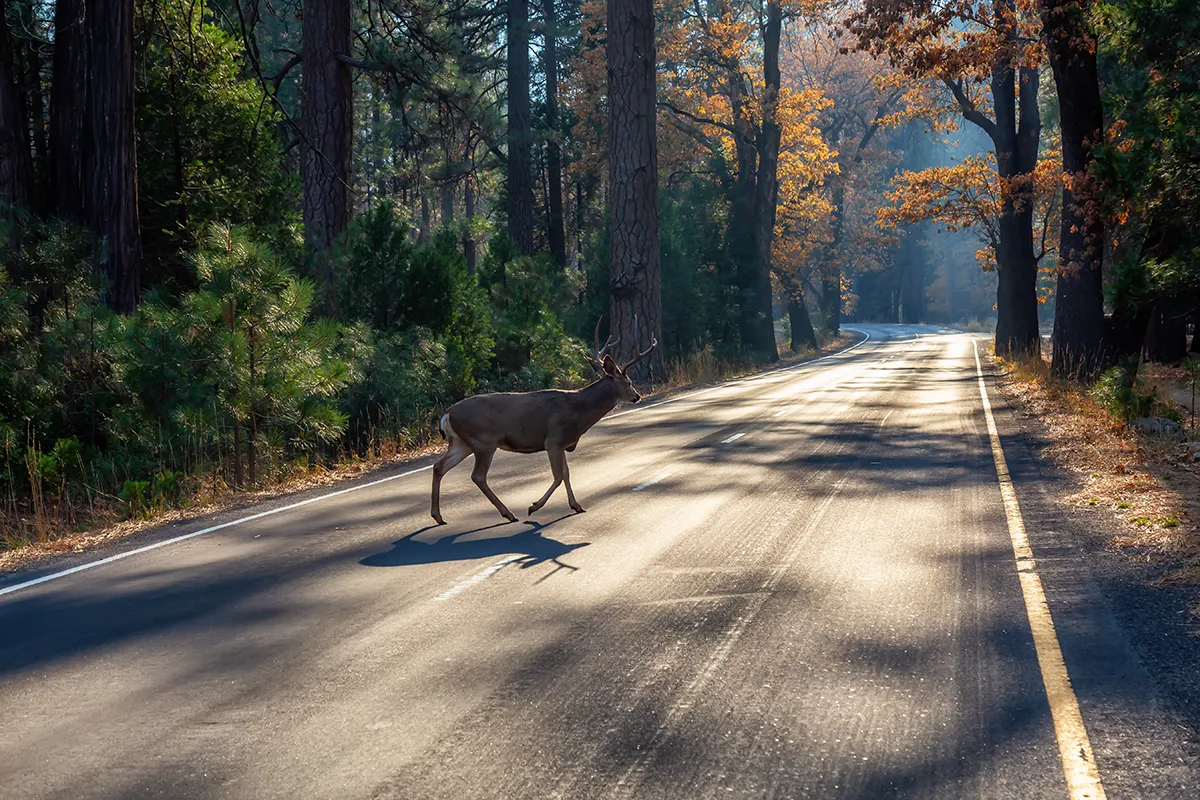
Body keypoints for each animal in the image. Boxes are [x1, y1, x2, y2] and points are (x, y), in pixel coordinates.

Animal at [429, 319, 657, 525]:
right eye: (628, 382)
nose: (637, 396)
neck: (580, 411)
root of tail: (447, 414)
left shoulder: (562, 443)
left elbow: (566, 473)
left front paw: (576, 505)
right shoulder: (553, 439)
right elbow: (558, 476)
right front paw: (534, 507)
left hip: (462, 442)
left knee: (439, 467)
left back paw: (439, 517)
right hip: (484, 441)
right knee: (477, 476)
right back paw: (509, 513)